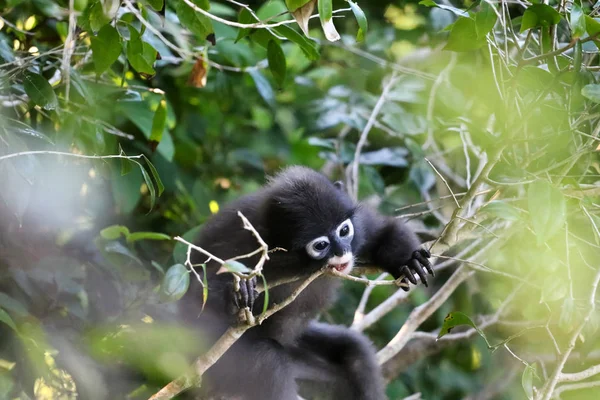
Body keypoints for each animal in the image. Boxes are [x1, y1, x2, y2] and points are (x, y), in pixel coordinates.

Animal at [177, 166, 432, 400]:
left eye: (344, 231)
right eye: (321, 245)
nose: (342, 251)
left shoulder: (359, 223)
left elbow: (383, 231)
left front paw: (407, 261)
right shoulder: (240, 242)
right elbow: (196, 302)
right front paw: (236, 291)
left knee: (353, 349)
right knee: (269, 360)